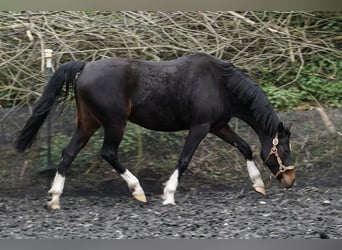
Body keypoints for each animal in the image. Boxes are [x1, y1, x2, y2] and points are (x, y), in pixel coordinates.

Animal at [15, 52, 294, 209]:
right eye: (284, 149)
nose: (291, 180)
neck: (220, 84)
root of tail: (85, 67)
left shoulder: (218, 125)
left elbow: (244, 147)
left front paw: (258, 185)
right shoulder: (200, 126)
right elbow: (184, 160)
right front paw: (168, 195)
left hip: (88, 122)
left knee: (68, 153)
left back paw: (54, 199)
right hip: (114, 122)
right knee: (108, 153)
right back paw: (138, 191)